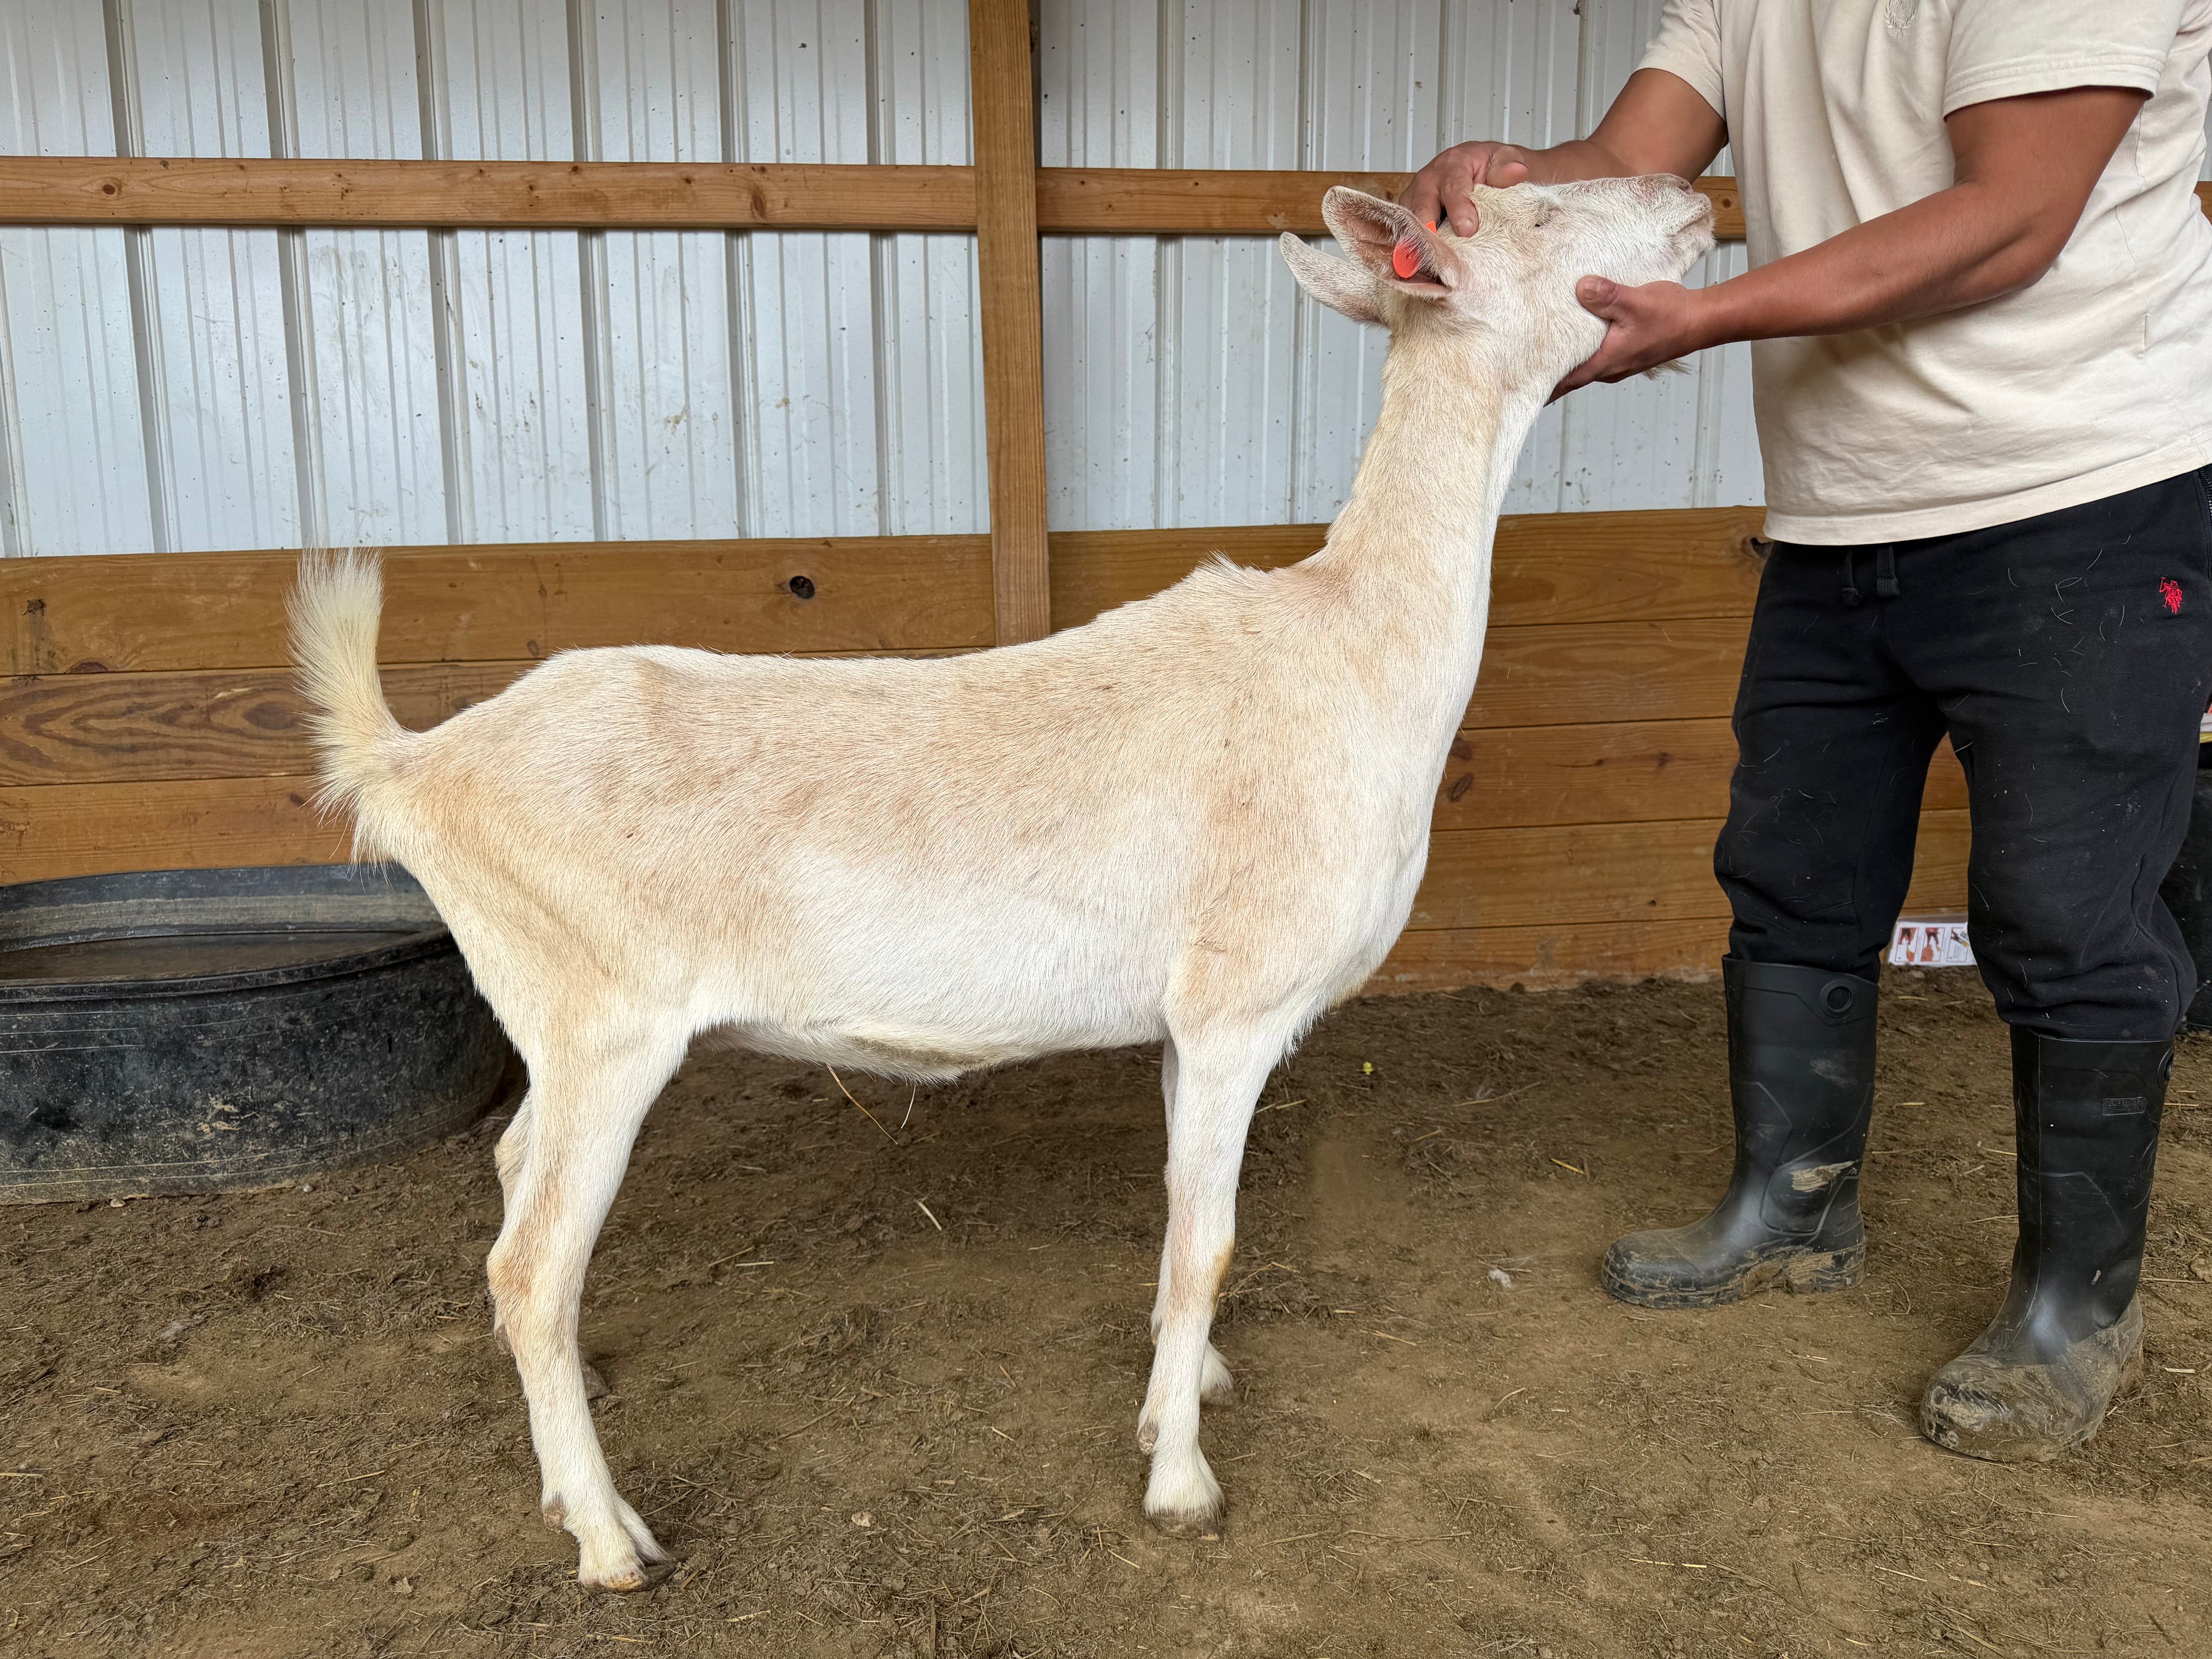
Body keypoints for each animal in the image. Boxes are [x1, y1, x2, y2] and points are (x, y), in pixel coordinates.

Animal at [289, 178, 1713, 1590]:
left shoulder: (1182, 1024)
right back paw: (606, 1535)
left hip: (559, 1021)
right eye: (1525, 212)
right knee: (530, 1265)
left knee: (514, 1171)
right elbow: (1212, 1241)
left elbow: (1180, 1224)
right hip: (602, 1017)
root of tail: (411, 764)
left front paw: (1185, 1388)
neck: (1359, 647)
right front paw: (1181, 1483)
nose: (1694, 199)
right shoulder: (1240, 1001)